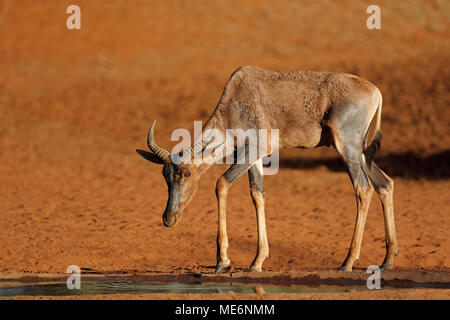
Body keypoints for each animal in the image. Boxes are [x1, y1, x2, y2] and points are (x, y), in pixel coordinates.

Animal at [136, 66, 398, 274]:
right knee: (385, 184)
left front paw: (223, 261)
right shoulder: (254, 156)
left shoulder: (253, 150)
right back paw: (387, 259)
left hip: (348, 147)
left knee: (363, 189)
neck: (239, 95)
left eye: (187, 173)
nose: (169, 218)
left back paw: (348, 262)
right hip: (361, 152)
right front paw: (257, 262)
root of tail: (375, 91)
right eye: (165, 175)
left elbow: (221, 184)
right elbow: (257, 195)